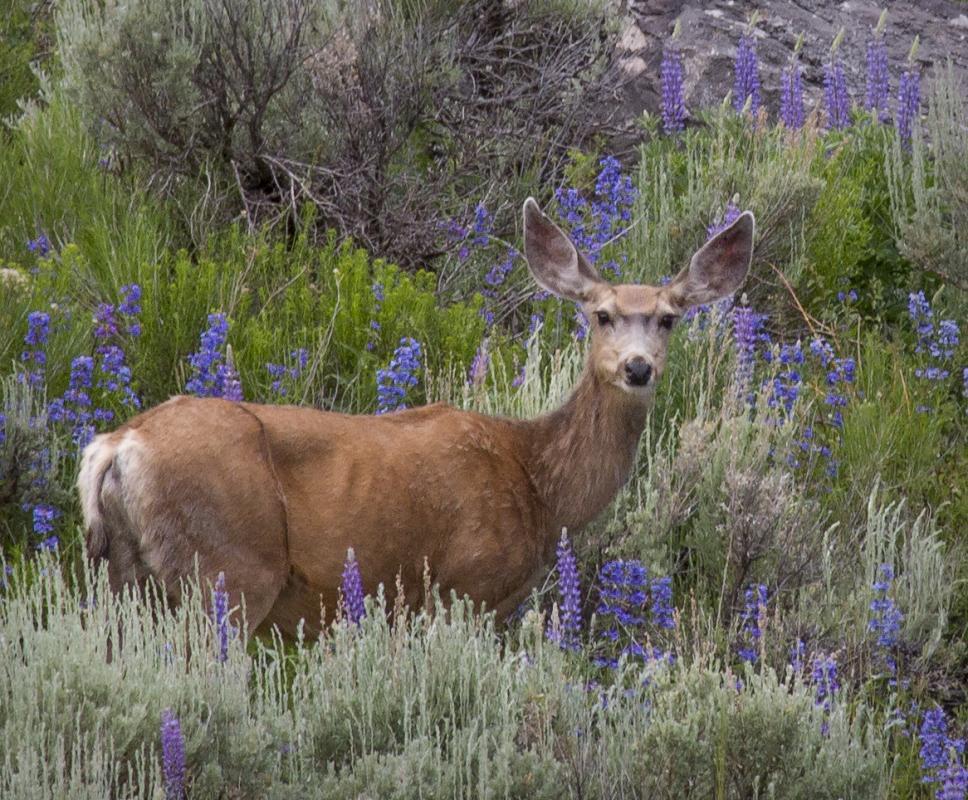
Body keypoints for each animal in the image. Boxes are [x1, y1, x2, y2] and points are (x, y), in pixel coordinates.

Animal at [77, 198, 754, 637]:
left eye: (668, 318)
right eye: (602, 314)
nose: (637, 367)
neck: (538, 483)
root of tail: (116, 446)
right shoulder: (467, 587)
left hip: (125, 577)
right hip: (227, 569)